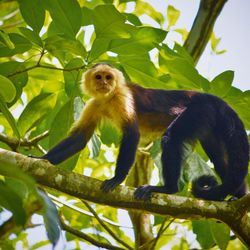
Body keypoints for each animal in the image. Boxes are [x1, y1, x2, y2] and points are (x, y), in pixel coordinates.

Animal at [30, 62, 249, 201]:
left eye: (108, 77)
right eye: (98, 77)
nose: (104, 83)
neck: (109, 98)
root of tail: (214, 99)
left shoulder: (122, 97)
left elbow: (132, 134)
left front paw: (117, 179)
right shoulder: (94, 104)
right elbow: (79, 139)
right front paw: (42, 160)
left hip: (200, 110)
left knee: (171, 138)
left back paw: (168, 189)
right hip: (212, 123)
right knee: (221, 161)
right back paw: (237, 197)